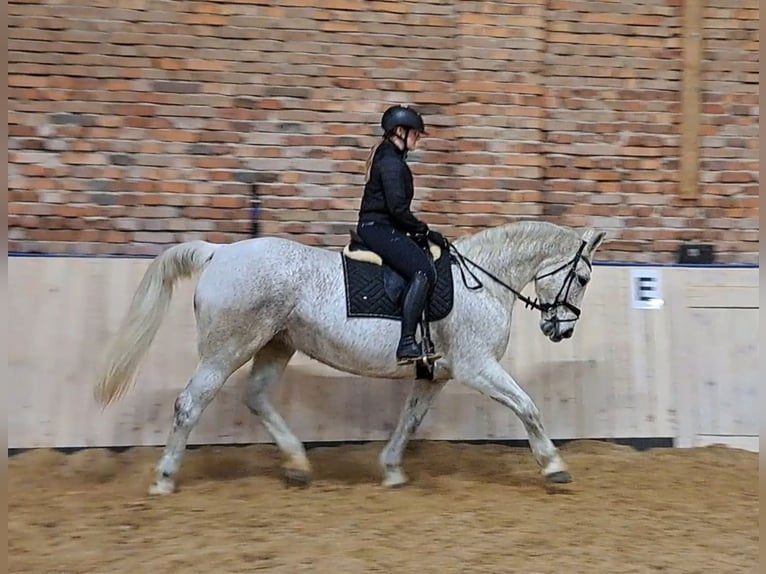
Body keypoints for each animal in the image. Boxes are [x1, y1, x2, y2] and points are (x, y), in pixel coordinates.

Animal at [94, 218, 608, 498]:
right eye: (582, 277)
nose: (561, 330)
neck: (481, 281)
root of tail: (219, 253)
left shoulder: (435, 375)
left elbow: (410, 420)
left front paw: (392, 469)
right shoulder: (476, 367)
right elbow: (528, 407)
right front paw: (554, 467)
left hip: (276, 344)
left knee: (256, 398)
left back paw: (298, 466)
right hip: (228, 348)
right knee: (189, 405)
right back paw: (164, 479)